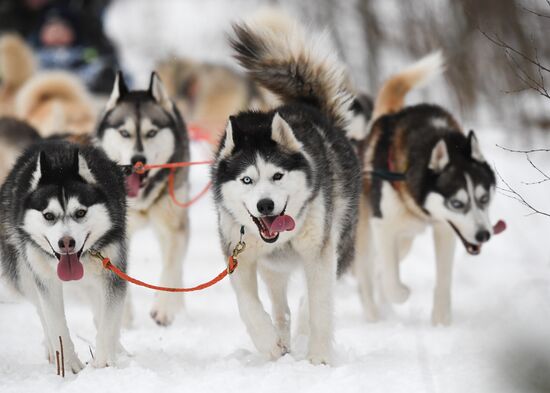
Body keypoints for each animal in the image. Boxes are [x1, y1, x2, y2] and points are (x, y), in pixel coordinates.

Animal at [0, 140, 127, 370]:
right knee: (40, 311)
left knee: (99, 311)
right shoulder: (45, 280)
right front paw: (68, 365)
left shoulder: (113, 271)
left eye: (80, 213)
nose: (66, 242)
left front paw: (104, 362)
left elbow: (108, 320)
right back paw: (52, 351)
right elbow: (55, 323)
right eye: (49, 216)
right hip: (24, 275)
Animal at [98, 71, 193, 324]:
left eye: (152, 133)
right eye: (124, 133)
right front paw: (123, 317)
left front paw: (164, 308)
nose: (137, 160)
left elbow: (171, 266)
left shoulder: (174, 227)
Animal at [211, 16, 362, 362]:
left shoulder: (319, 253)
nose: (265, 205)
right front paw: (268, 343)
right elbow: (248, 306)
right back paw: (281, 340)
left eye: (278, 176)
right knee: (282, 309)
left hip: (339, 243)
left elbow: (319, 308)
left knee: (309, 300)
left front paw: (319, 359)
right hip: (273, 269)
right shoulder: (238, 255)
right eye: (247, 180)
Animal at [356, 52, 502, 324]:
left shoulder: (446, 229)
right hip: (365, 233)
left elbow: (443, 279)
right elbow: (391, 280)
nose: (483, 235)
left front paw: (442, 322)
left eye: (484, 198)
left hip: (406, 238)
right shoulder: (383, 226)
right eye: (457, 203)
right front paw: (401, 292)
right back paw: (372, 314)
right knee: (366, 273)